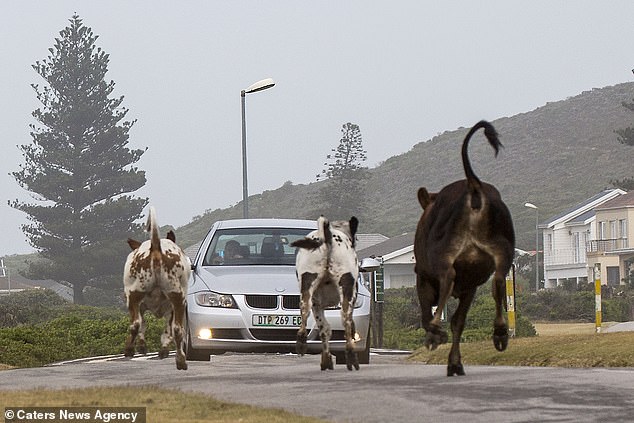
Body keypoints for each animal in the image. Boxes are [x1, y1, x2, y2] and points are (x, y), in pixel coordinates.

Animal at [123, 208, 190, 372]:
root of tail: (156, 247)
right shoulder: (170, 307)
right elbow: (167, 330)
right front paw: (163, 349)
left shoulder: (140, 305)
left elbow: (142, 324)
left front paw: (141, 346)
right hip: (178, 297)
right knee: (177, 329)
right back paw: (180, 360)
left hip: (134, 294)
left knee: (135, 324)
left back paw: (129, 349)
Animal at [414, 120, 512, 378]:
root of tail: (473, 186)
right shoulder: (470, 287)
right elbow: (459, 321)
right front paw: (455, 363)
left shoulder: (422, 276)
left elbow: (428, 314)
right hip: (503, 249)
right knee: (499, 281)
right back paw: (500, 332)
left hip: (443, 253)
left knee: (448, 277)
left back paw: (435, 332)